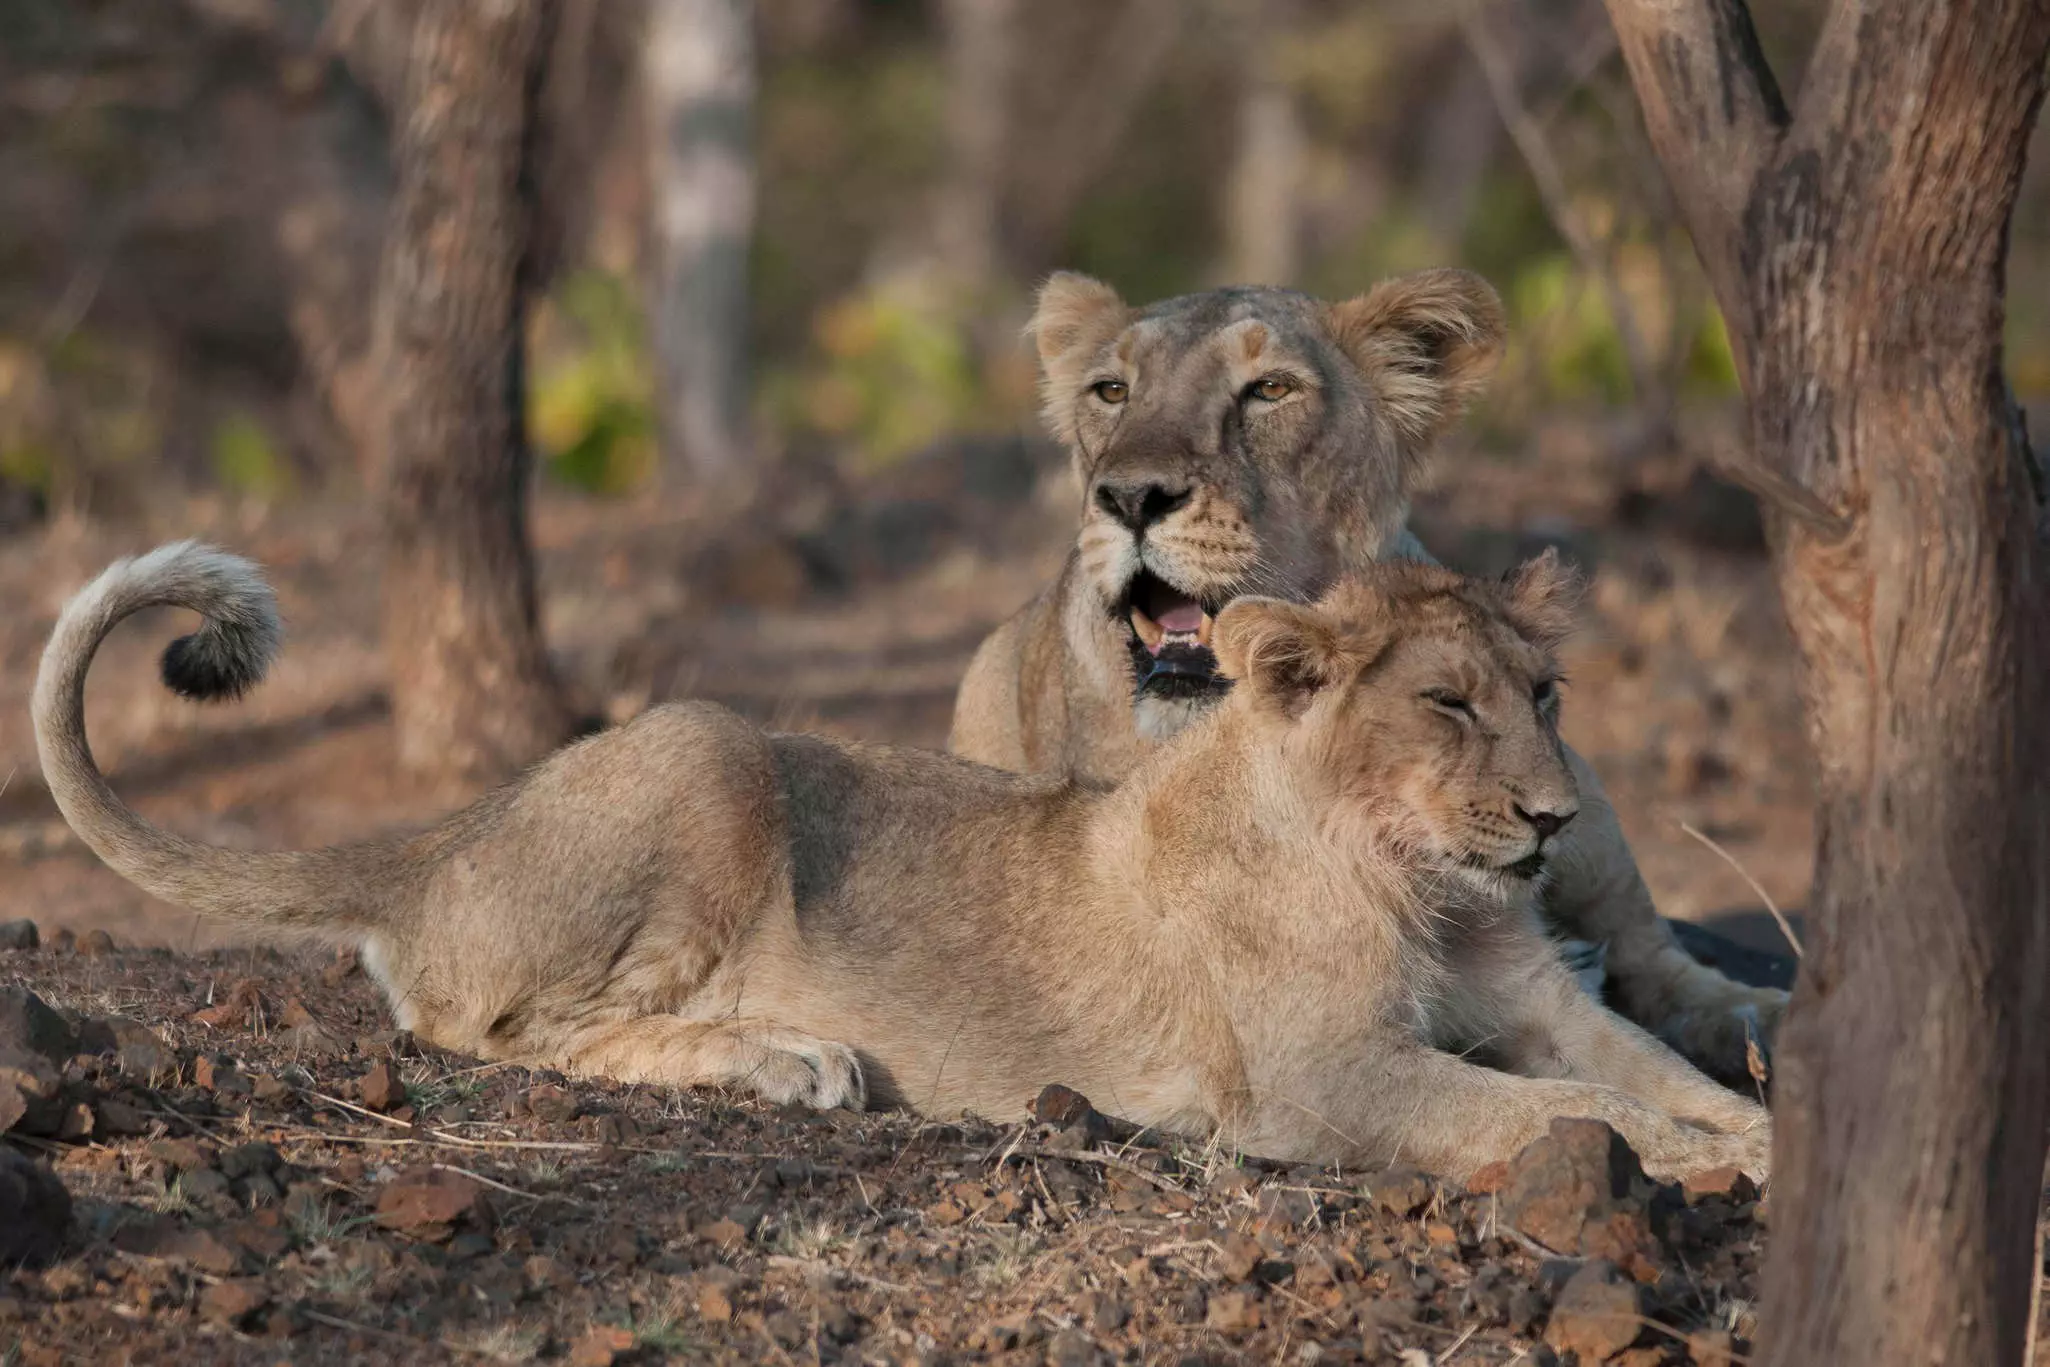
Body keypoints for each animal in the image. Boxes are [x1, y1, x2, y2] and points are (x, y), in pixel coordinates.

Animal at [33, 541, 1767, 1180]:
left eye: (1544, 696)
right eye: (1446, 703)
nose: (1551, 818)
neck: (1417, 878)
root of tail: (456, 827)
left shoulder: (1540, 997)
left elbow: (1650, 1070)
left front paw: (1758, 1131)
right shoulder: (1317, 1077)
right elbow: (1558, 1111)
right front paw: (1709, 1165)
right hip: (709, 747)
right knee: (505, 1026)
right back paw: (790, 1057)